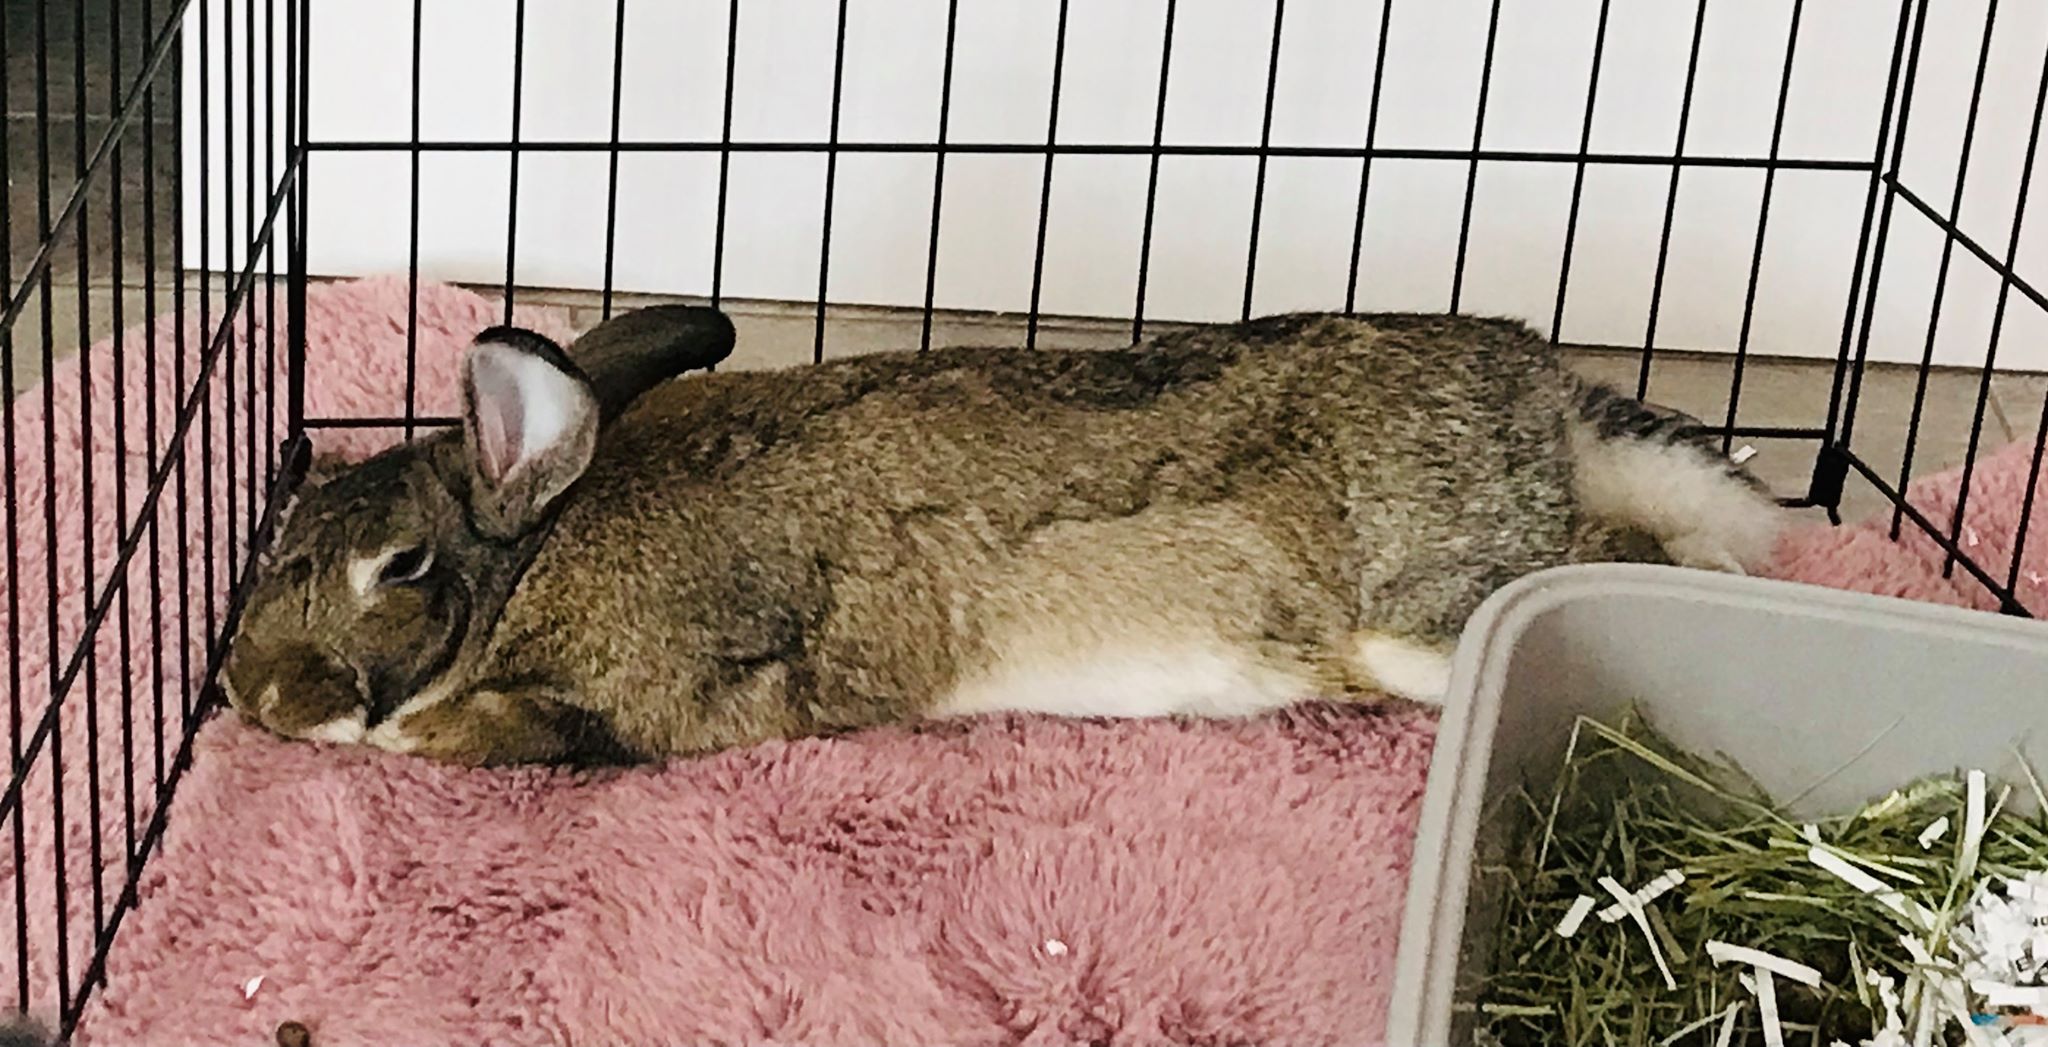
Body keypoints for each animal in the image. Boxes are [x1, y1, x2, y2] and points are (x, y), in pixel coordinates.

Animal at [221, 309, 1785, 766]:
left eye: (399, 565)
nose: (244, 693)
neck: (539, 544)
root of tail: (1535, 386)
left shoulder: (667, 684)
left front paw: (414, 736)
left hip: (1425, 609)